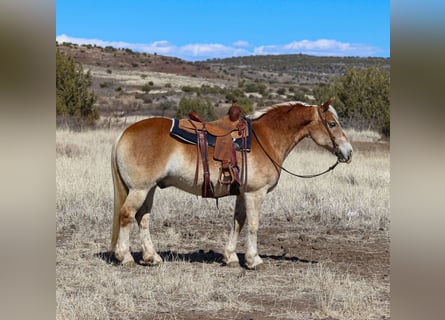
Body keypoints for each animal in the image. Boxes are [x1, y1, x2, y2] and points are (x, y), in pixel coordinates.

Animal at [109, 99, 352, 268]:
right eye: (332, 124)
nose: (348, 152)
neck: (266, 138)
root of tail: (124, 133)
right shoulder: (255, 193)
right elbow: (253, 224)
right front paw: (254, 260)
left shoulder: (242, 194)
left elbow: (238, 222)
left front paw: (231, 257)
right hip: (139, 190)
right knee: (127, 215)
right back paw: (126, 257)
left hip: (148, 189)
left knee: (142, 218)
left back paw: (152, 257)